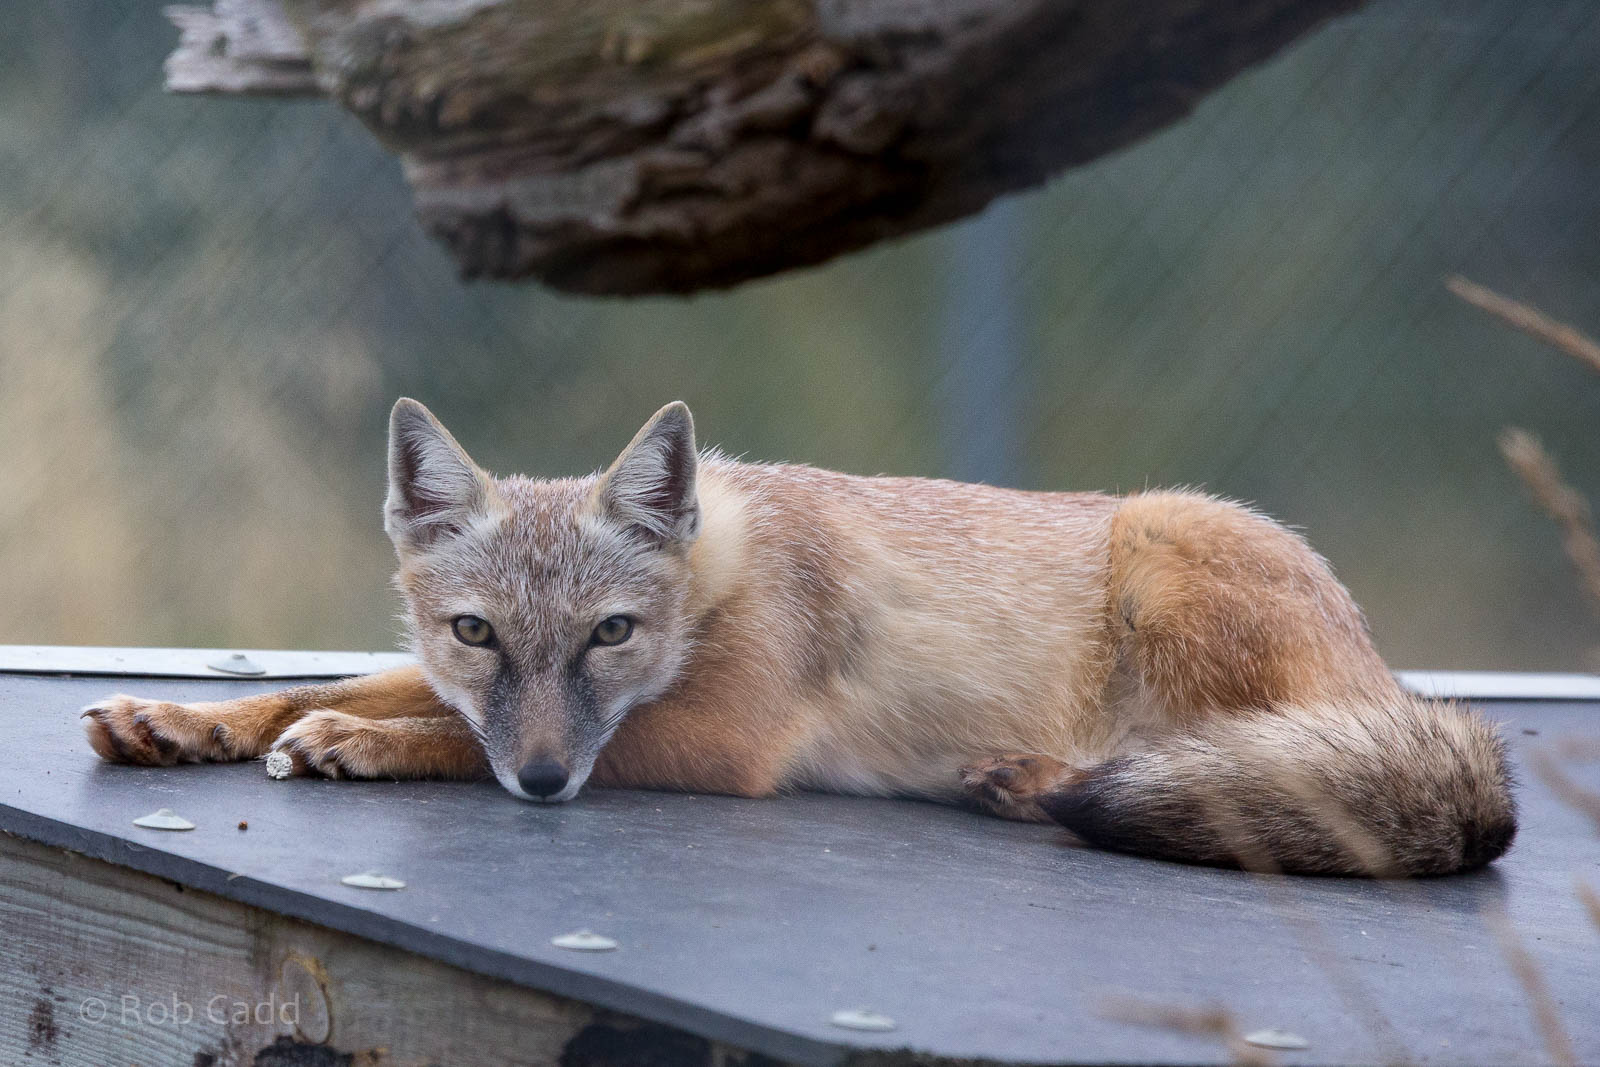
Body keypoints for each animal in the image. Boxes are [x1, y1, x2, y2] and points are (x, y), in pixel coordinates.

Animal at [82, 399, 1517, 876]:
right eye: (477, 629)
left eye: (609, 634)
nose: (540, 782)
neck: (727, 566)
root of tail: (1400, 686)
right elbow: (347, 682)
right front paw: (186, 718)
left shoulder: (724, 733)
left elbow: (426, 727)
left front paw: (358, 745)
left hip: (1165, 541)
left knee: (1242, 762)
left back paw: (1039, 781)